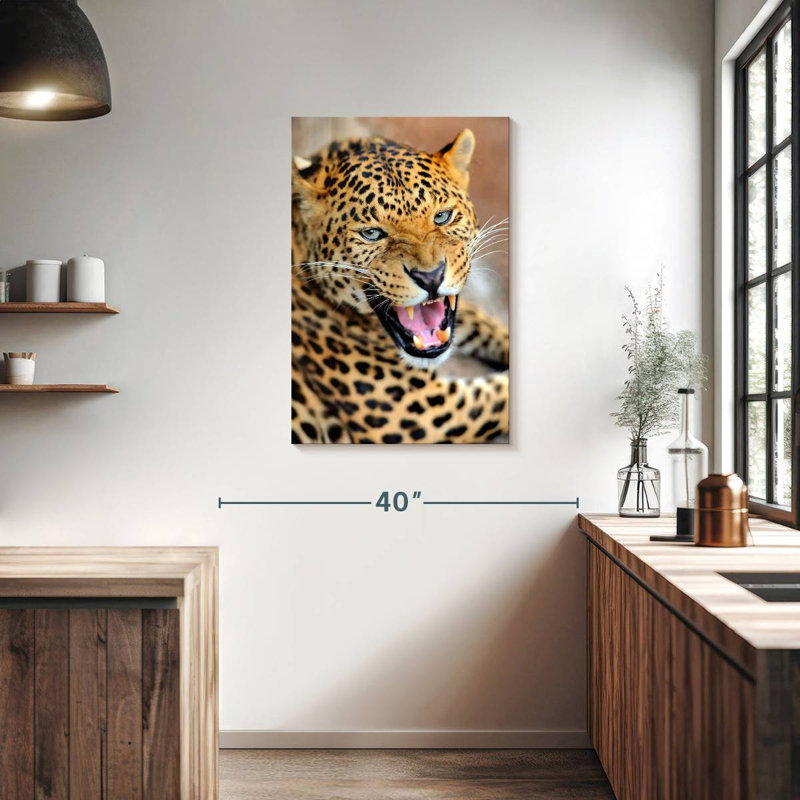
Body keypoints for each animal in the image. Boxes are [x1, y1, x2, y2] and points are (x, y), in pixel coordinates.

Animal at [291, 128, 509, 444]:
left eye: (442, 216)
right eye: (372, 233)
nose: (431, 277)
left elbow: (486, 323)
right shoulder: (419, 413)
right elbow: (502, 395)